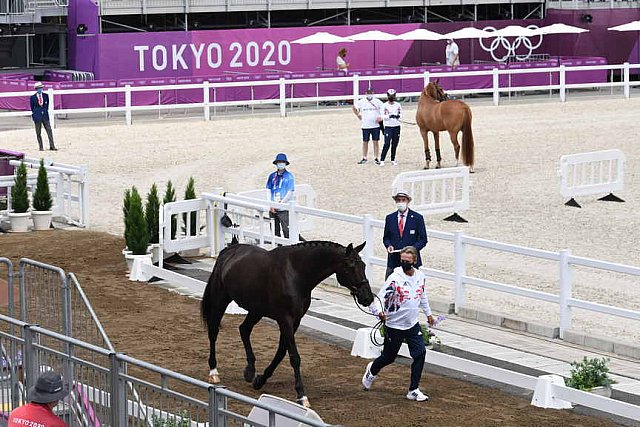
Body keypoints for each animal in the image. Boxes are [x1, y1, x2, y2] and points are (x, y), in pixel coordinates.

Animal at [201, 241, 376, 408]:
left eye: (363, 266)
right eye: (350, 266)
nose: (367, 297)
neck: (296, 273)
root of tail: (229, 250)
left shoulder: (295, 321)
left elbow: (281, 352)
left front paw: (260, 380)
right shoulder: (285, 320)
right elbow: (294, 357)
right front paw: (302, 396)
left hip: (256, 310)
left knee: (244, 330)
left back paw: (249, 371)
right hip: (220, 300)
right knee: (213, 331)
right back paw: (213, 372)